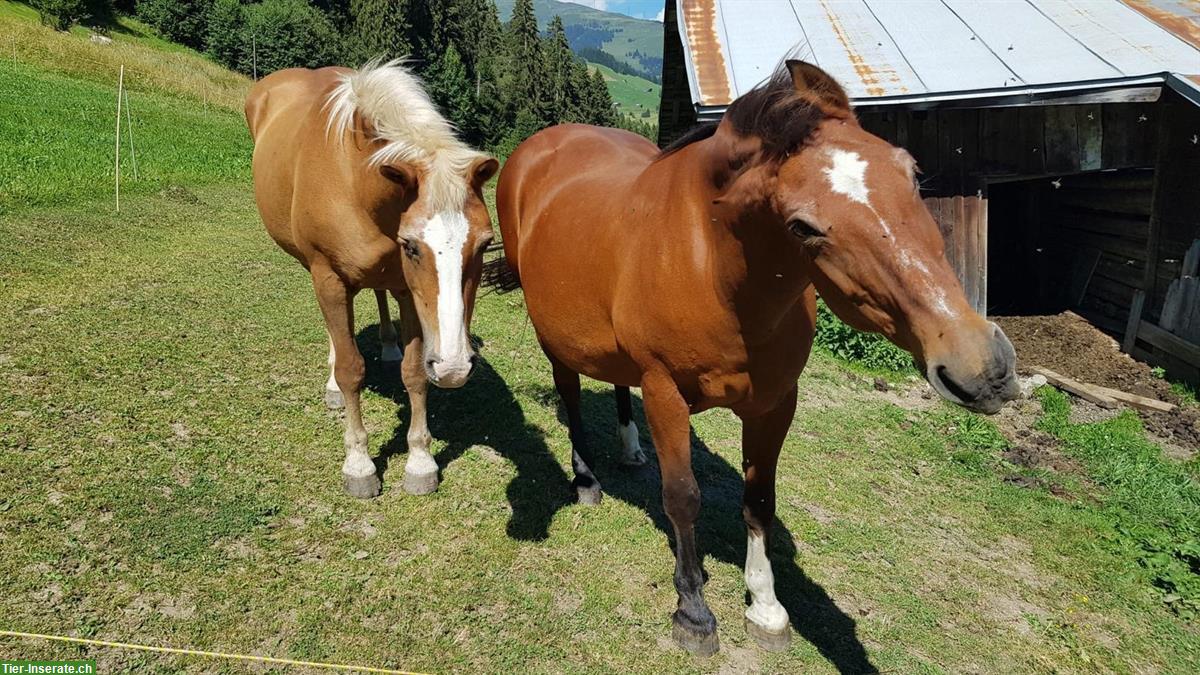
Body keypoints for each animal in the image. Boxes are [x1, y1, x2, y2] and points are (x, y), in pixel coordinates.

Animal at [247, 60, 496, 497]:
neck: (355, 179)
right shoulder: (329, 277)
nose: (454, 367)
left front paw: (420, 461)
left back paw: (388, 344)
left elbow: (414, 373)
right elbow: (351, 369)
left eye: (485, 244)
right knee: (337, 333)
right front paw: (359, 464)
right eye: (411, 246)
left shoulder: (408, 291)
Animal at [492, 61, 1017, 653]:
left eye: (912, 172)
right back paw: (586, 481)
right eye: (802, 227)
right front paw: (694, 612)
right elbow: (682, 497)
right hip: (552, 336)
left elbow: (759, 501)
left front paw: (766, 609)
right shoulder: (665, 392)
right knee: (571, 392)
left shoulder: (774, 404)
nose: (983, 367)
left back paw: (630, 449)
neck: (712, 268)